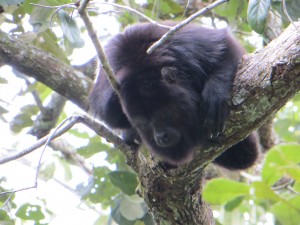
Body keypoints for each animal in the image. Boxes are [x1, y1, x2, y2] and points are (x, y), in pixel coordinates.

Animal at [88, 22, 258, 170]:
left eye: (164, 113)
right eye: (143, 123)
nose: (160, 136)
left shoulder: (188, 45)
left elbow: (226, 47)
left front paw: (215, 94)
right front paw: (131, 133)